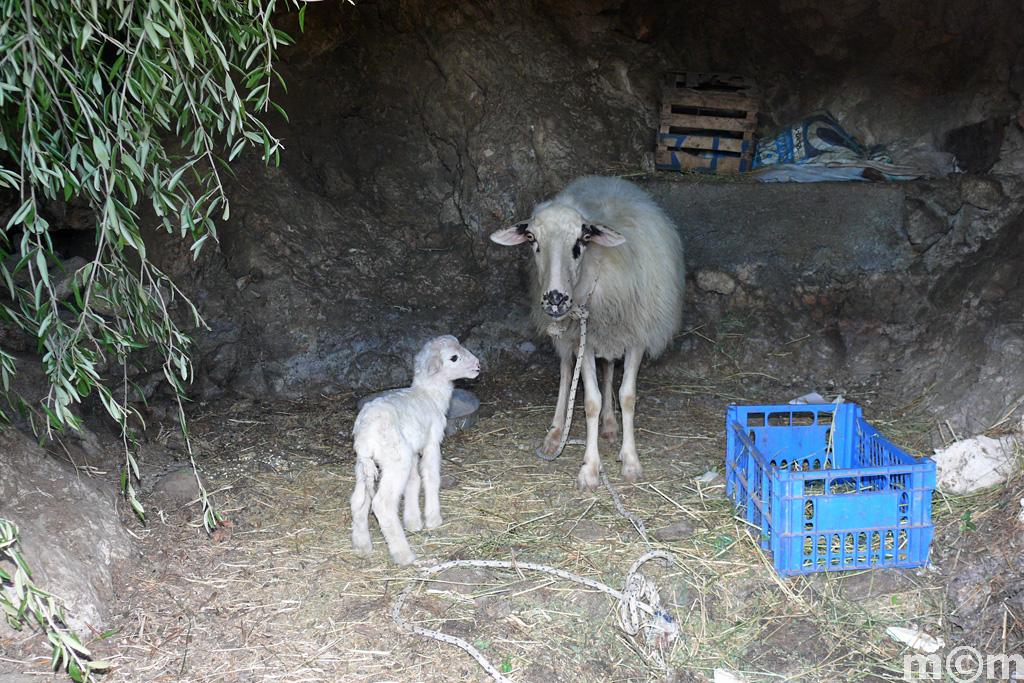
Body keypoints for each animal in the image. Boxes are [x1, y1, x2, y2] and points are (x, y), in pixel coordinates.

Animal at [350, 333, 481, 565]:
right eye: (454, 357)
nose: (478, 365)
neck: (430, 394)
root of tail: (366, 435)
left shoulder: (411, 449)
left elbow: (414, 481)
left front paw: (413, 521)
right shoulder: (432, 442)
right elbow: (430, 476)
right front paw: (433, 518)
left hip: (364, 464)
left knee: (359, 501)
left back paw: (362, 544)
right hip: (396, 459)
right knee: (382, 504)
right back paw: (403, 554)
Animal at [489, 176, 684, 491]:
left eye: (584, 238)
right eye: (531, 238)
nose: (555, 299)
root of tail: (602, 178)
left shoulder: (635, 336)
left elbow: (627, 396)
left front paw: (630, 461)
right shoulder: (585, 341)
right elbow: (590, 401)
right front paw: (590, 469)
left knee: (609, 369)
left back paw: (611, 423)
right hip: (570, 337)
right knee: (566, 371)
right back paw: (557, 431)